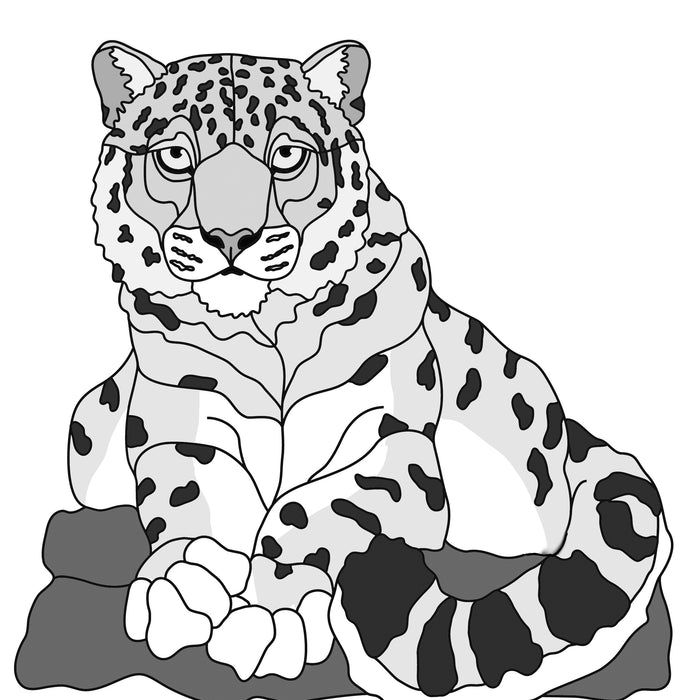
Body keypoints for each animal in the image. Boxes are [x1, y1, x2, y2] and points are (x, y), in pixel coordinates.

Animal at [64, 39, 672, 698]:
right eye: (175, 155)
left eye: (287, 154)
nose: (231, 237)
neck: (265, 335)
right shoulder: (175, 429)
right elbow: (192, 494)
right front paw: (185, 579)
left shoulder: (396, 451)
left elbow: (310, 508)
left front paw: (269, 611)